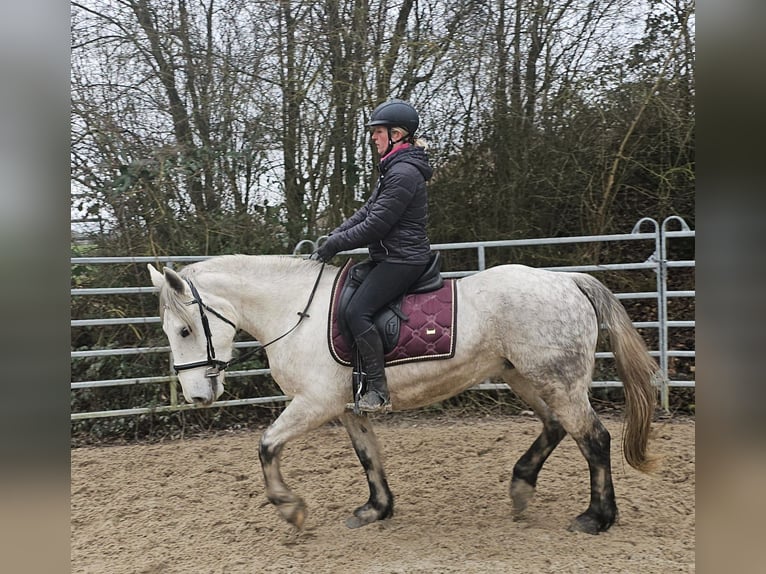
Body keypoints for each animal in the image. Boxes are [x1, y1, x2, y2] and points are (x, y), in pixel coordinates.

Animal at [148, 255, 660, 536]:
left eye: (184, 329)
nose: (197, 396)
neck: (296, 312)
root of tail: (568, 280)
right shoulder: (347, 407)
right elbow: (368, 456)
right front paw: (376, 509)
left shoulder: (314, 404)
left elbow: (267, 446)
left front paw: (291, 510)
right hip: (527, 379)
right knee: (556, 427)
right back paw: (521, 486)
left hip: (558, 382)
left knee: (594, 439)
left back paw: (596, 517)